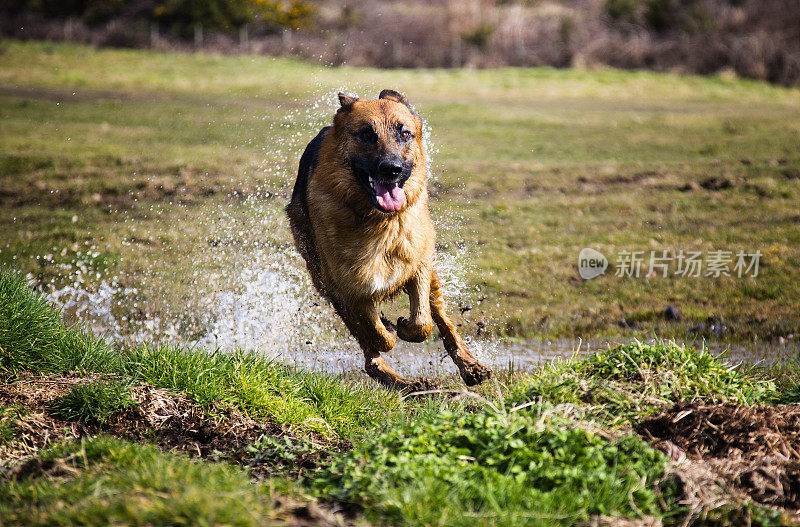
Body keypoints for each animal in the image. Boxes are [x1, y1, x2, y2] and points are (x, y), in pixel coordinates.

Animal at [284, 88, 490, 390]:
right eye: (366, 134)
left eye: (404, 134)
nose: (391, 169)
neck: (379, 221)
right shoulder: (347, 288)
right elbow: (377, 334)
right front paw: (389, 329)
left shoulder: (419, 266)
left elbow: (422, 323)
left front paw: (403, 325)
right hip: (326, 283)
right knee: (370, 357)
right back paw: (403, 382)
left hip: (431, 276)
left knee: (443, 321)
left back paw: (469, 366)